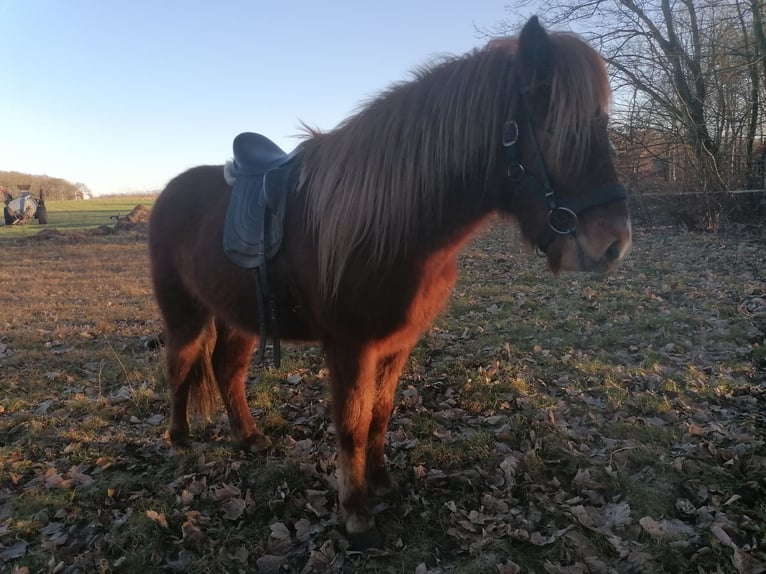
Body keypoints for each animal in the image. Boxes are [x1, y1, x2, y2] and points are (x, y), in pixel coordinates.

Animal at [148, 16, 632, 547]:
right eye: (554, 125)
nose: (613, 244)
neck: (388, 227)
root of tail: (168, 191)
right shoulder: (349, 347)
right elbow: (352, 423)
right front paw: (356, 512)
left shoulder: (398, 343)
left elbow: (380, 413)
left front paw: (381, 481)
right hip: (184, 310)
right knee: (179, 365)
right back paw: (179, 440)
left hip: (240, 315)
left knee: (226, 369)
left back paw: (249, 437)